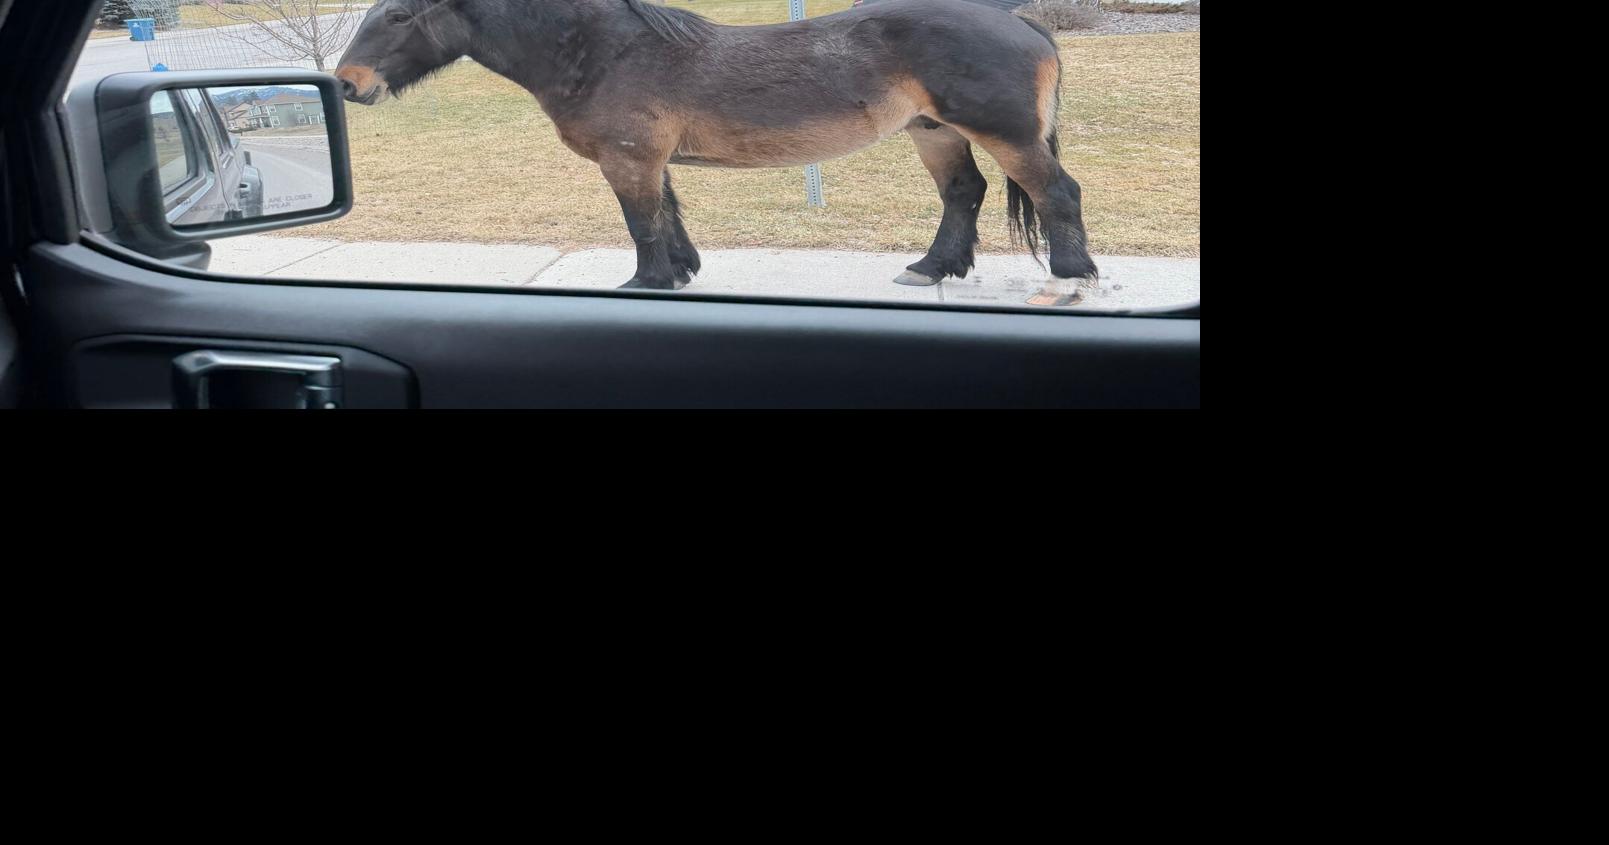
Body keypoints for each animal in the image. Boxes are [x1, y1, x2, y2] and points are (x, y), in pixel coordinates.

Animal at [335, 0, 1097, 304]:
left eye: (397, 15)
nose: (347, 84)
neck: (601, 52)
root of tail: (1020, 22)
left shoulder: (629, 158)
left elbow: (642, 223)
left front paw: (646, 283)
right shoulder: (648, 159)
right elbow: (668, 217)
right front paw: (679, 274)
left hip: (1003, 136)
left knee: (1056, 192)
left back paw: (1071, 274)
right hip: (933, 131)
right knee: (962, 194)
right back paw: (930, 268)